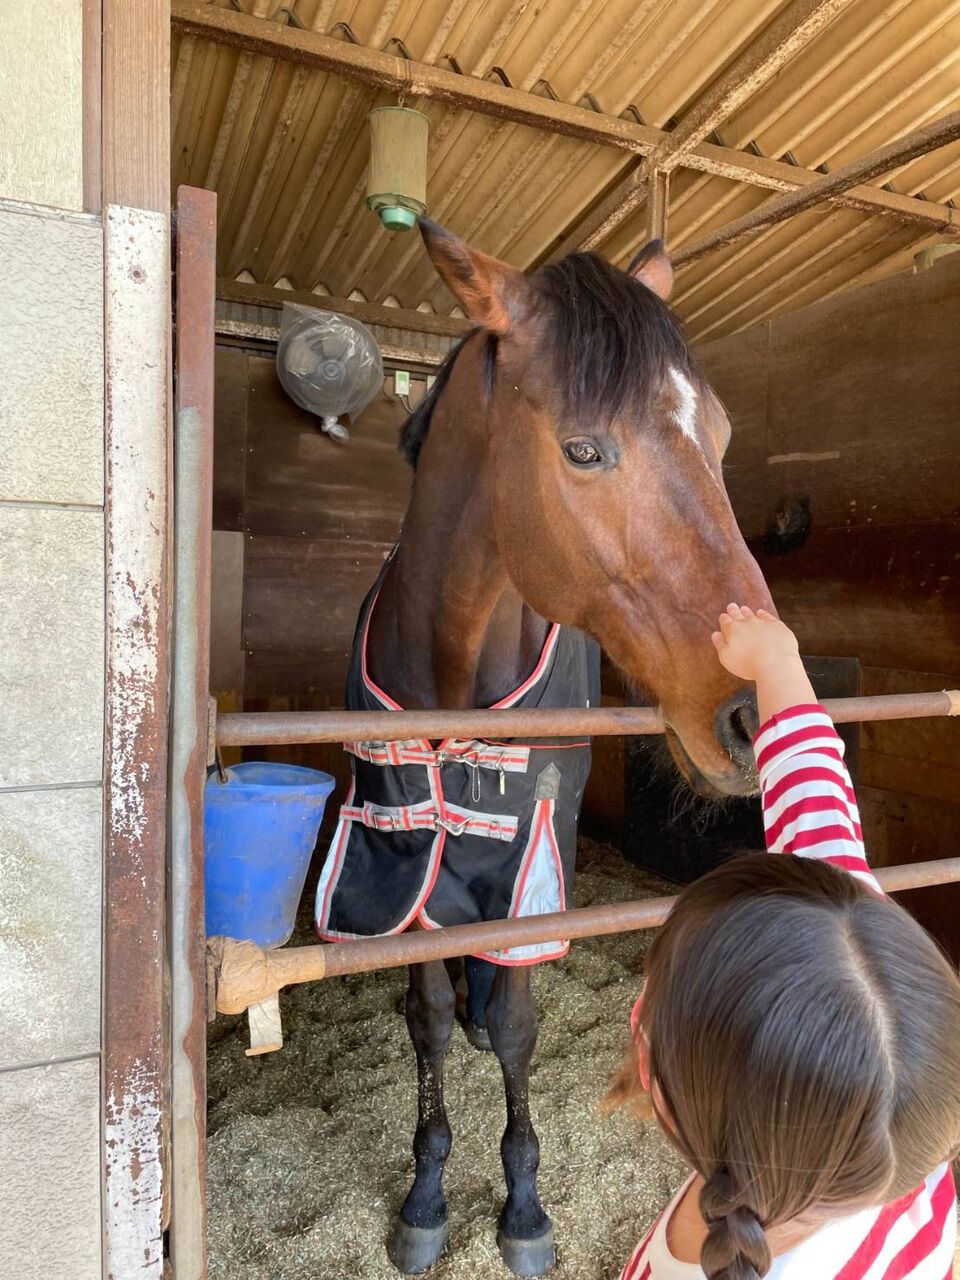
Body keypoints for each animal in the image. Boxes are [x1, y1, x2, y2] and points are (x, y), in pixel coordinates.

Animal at [323, 220, 773, 1269]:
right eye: (583, 448)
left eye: (720, 439)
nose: (755, 711)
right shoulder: (404, 849)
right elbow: (424, 1019)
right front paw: (427, 1195)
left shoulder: (529, 852)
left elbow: (522, 1024)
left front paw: (523, 1206)